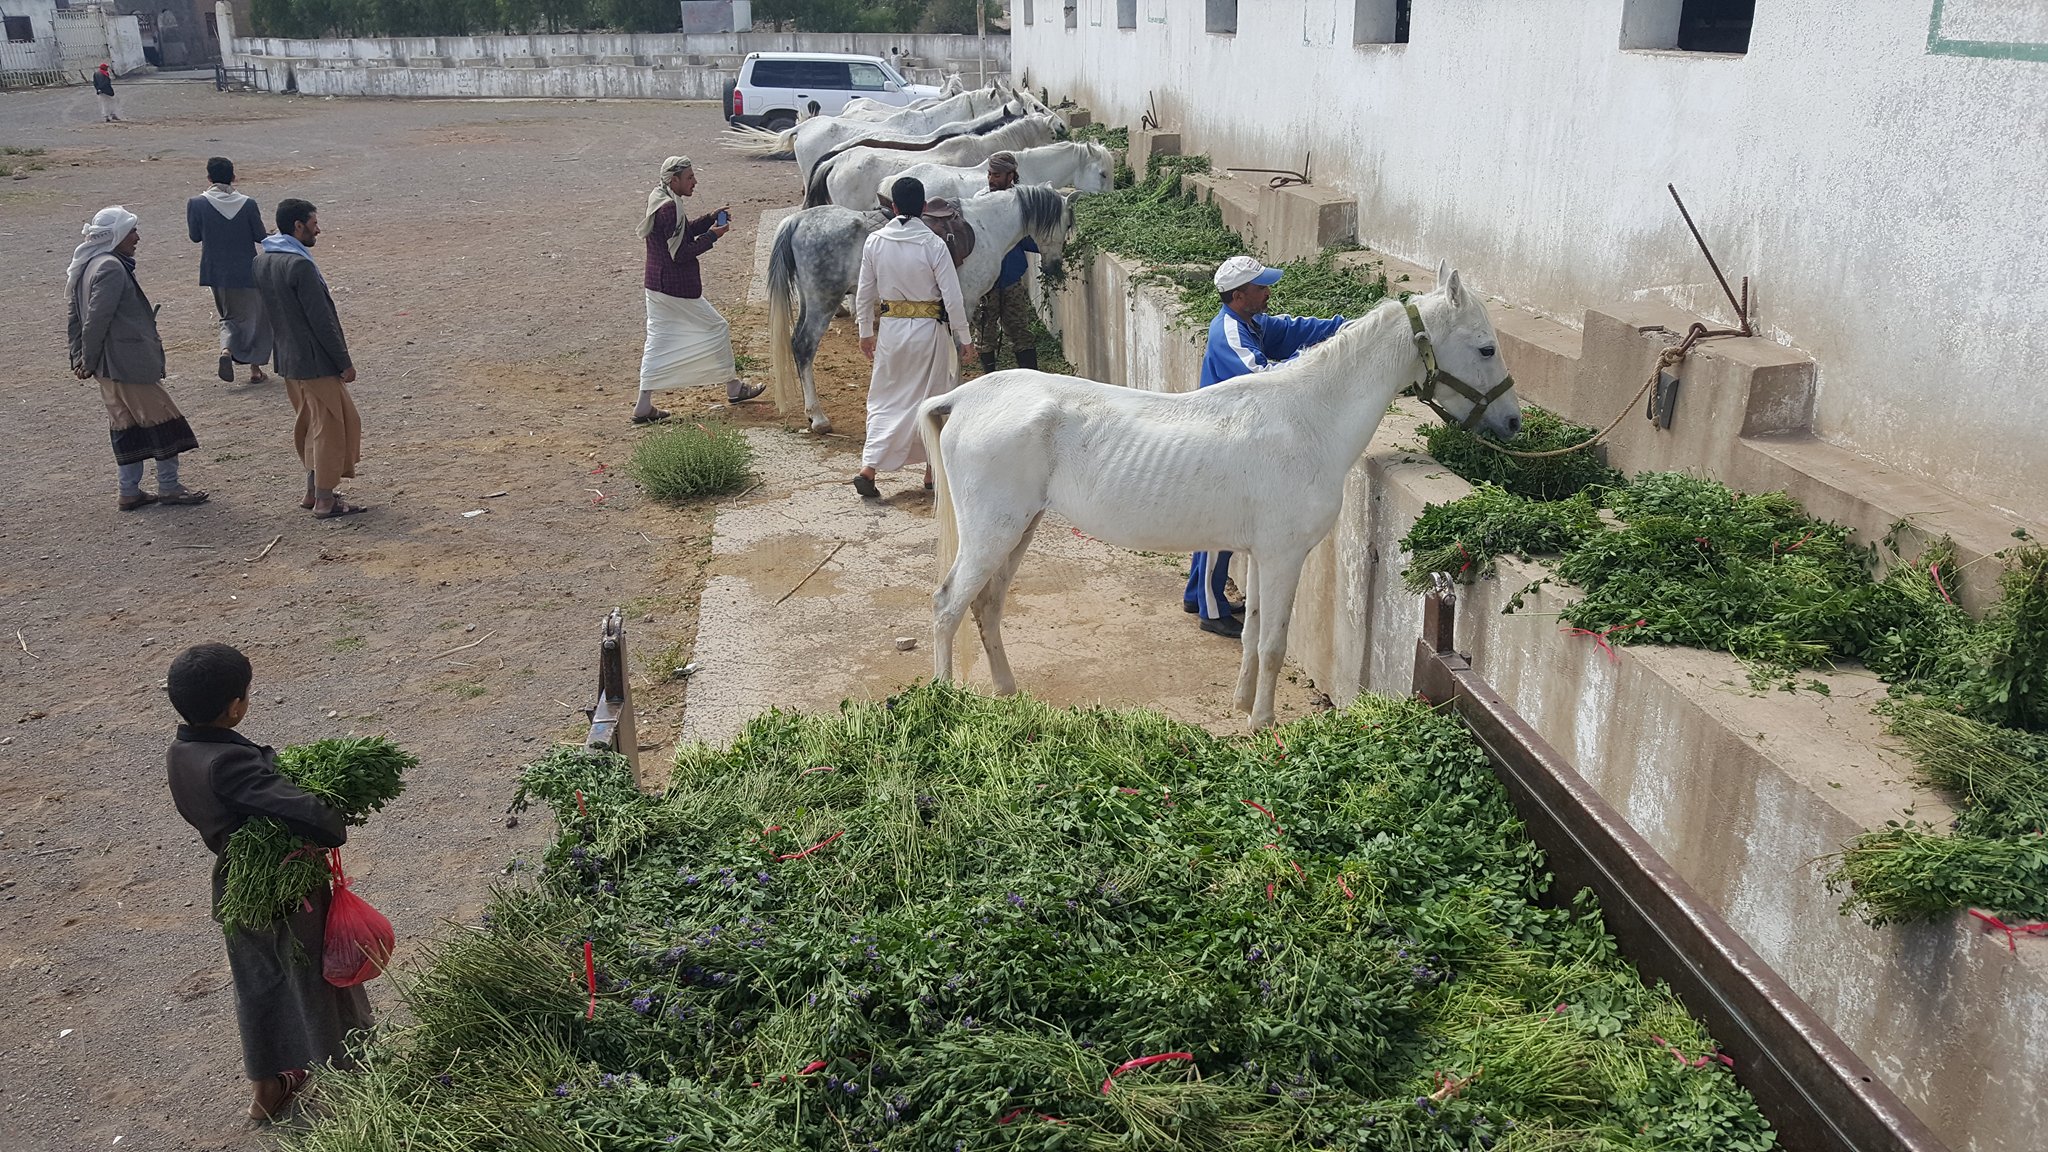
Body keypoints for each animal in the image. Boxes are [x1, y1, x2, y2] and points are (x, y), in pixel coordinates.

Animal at [770, 183, 1073, 434]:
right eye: (1066, 224)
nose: (1055, 266)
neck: (987, 227)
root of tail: (797, 221)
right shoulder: (964, 302)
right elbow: (959, 352)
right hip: (823, 301)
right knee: (804, 346)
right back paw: (818, 417)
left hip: (810, 301)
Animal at [921, 264, 1531, 721]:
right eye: (1485, 349)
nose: (1513, 423)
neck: (1309, 419)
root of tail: (967, 397)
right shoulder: (1285, 555)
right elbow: (1274, 644)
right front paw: (1263, 723)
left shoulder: (1261, 555)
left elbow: (1253, 632)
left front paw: (1240, 704)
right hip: (992, 531)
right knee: (949, 605)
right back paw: (945, 703)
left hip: (1019, 529)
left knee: (987, 604)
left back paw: (1007, 691)